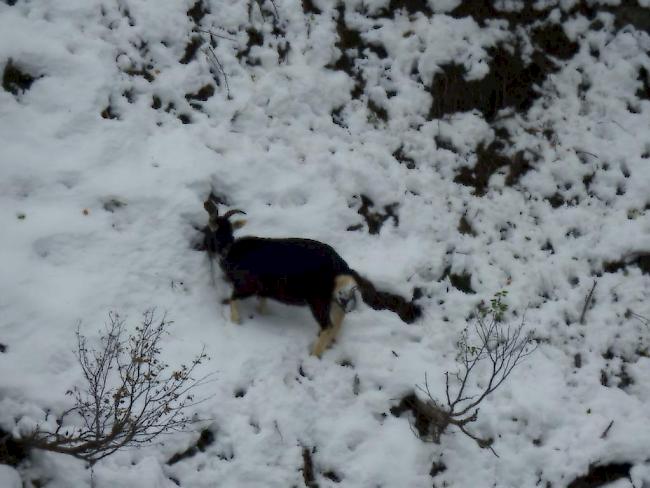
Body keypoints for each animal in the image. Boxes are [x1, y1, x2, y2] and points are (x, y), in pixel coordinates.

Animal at [205, 197, 422, 354]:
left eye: (210, 227)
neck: (231, 250)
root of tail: (341, 268)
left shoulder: (247, 284)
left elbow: (234, 299)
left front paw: (235, 322)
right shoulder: (264, 290)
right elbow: (262, 305)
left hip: (317, 299)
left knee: (328, 325)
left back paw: (315, 354)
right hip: (330, 298)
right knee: (339, 318)